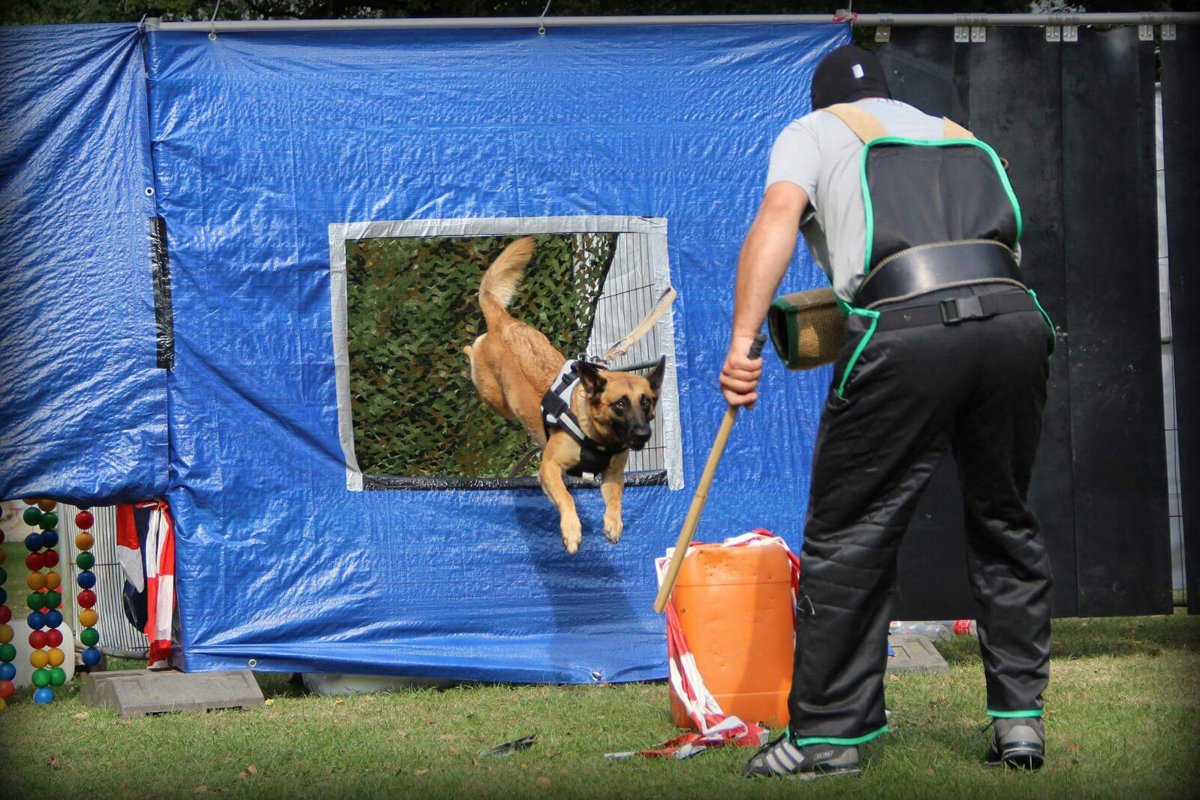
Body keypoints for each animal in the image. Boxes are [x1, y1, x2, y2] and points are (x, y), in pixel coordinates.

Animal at [463, 235, 667, 554]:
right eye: (620, 404)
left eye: (646, 402)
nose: (643, 434)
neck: (597, 437)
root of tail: (504, 322)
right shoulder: (549, 467)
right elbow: (566, 497)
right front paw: (571, 531)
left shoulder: (612, 476)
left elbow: (616, 500)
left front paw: (613, 524)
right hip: (495, 398)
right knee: (471, 352)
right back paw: (467, 350)